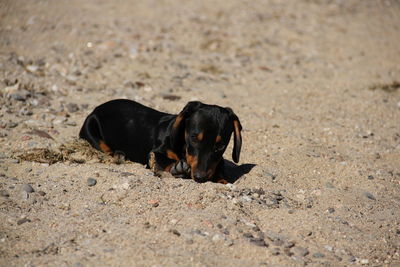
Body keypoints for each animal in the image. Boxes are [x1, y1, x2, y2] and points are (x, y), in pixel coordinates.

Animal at [78, 99, 241, 183]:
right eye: (194, 138)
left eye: (220, 146)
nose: (200, 178)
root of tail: (96, 108)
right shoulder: (156, 152)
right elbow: (163, 161)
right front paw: (177, 168)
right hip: (91, 129)